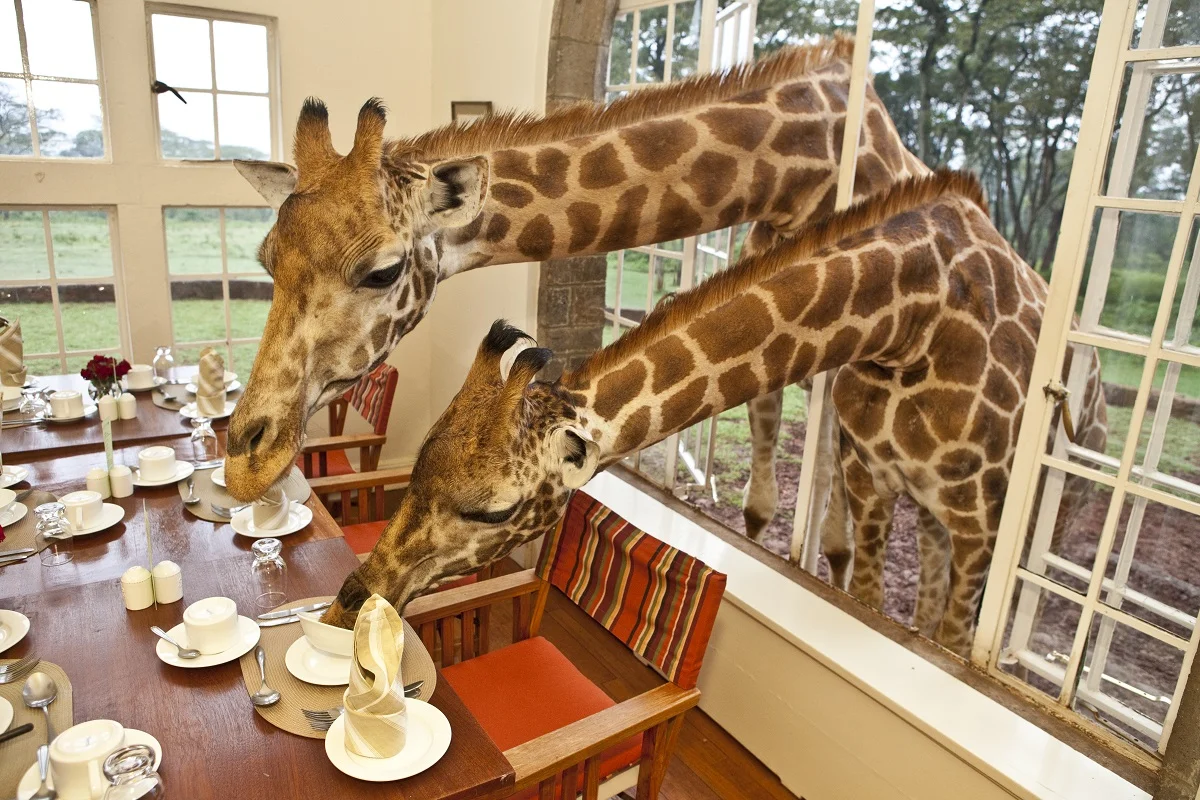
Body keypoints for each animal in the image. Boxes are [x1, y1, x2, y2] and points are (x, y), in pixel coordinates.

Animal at [321, 169, 1059, 657]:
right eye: (416, 466)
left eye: (496, 510)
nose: (343, 606)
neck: (908, 308)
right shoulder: (877, 487)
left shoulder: (980, 526)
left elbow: (946, 631)